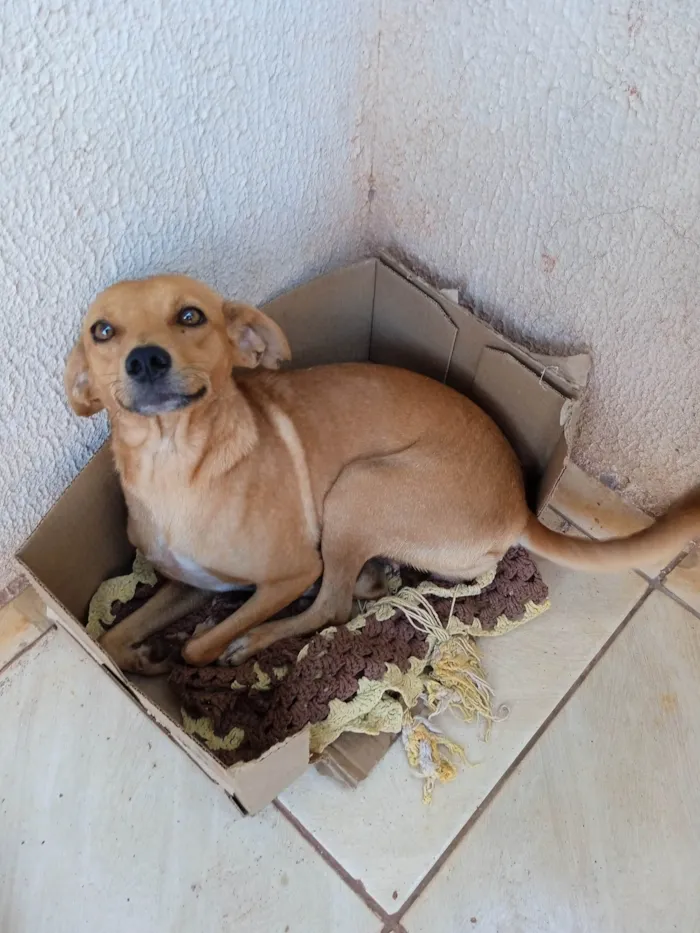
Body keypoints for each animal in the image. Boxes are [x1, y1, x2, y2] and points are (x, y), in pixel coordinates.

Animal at [65, 274, 700, 672]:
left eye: (190, 315)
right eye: (103, 330)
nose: (145, 360)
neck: (175, 466)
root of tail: (520, 506)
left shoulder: (290, 574)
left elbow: (196, 649)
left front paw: (194, 647)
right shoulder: (190, 584)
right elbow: (112, 636)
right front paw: (141, 657)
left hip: (357, 491)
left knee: (334, 607)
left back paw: (258, 638)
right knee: (351, 594)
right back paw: (377, 578)